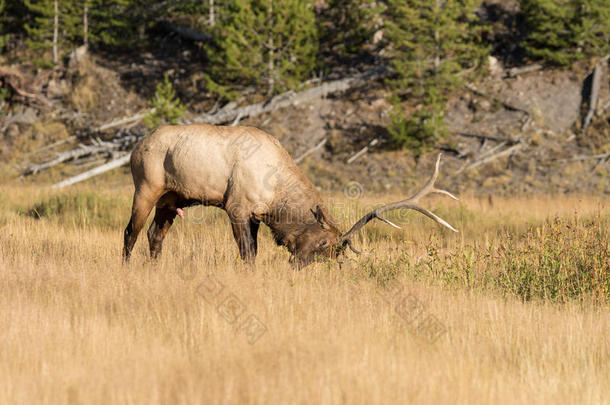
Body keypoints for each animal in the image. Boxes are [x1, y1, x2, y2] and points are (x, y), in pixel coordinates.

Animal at [123, 124, 456, 266]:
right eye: (323, 243)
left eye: (331, 252)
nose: (299, 264)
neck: (276, 196)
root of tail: (134, 147)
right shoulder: (236, 206)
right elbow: (247, 253)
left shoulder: (255, 216)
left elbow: (253, 251)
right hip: (146, 185)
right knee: (131, 232)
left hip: (172, 198)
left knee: (155, 234)